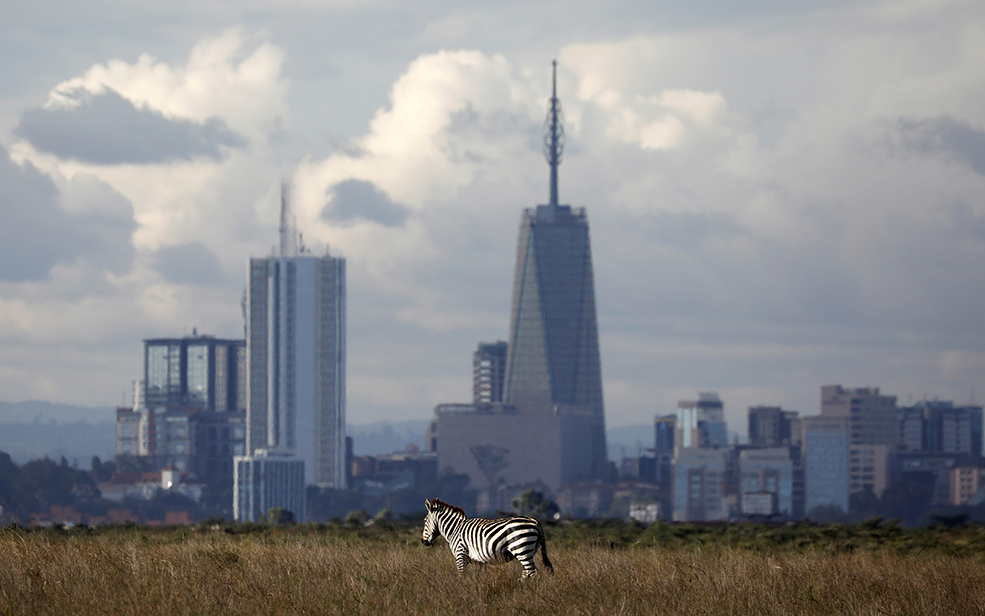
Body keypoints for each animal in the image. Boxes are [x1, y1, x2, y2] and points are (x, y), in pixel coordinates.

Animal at [418, 496, 552, 576]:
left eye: (424, 521)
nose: (423, 541)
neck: (454, 529)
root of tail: (535, 521)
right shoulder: (479, 560)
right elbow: (480, 577)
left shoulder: (460, 554)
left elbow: (461, 575)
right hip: (529, 550)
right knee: (529, 572)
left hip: (521, 548)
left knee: (532, 572)